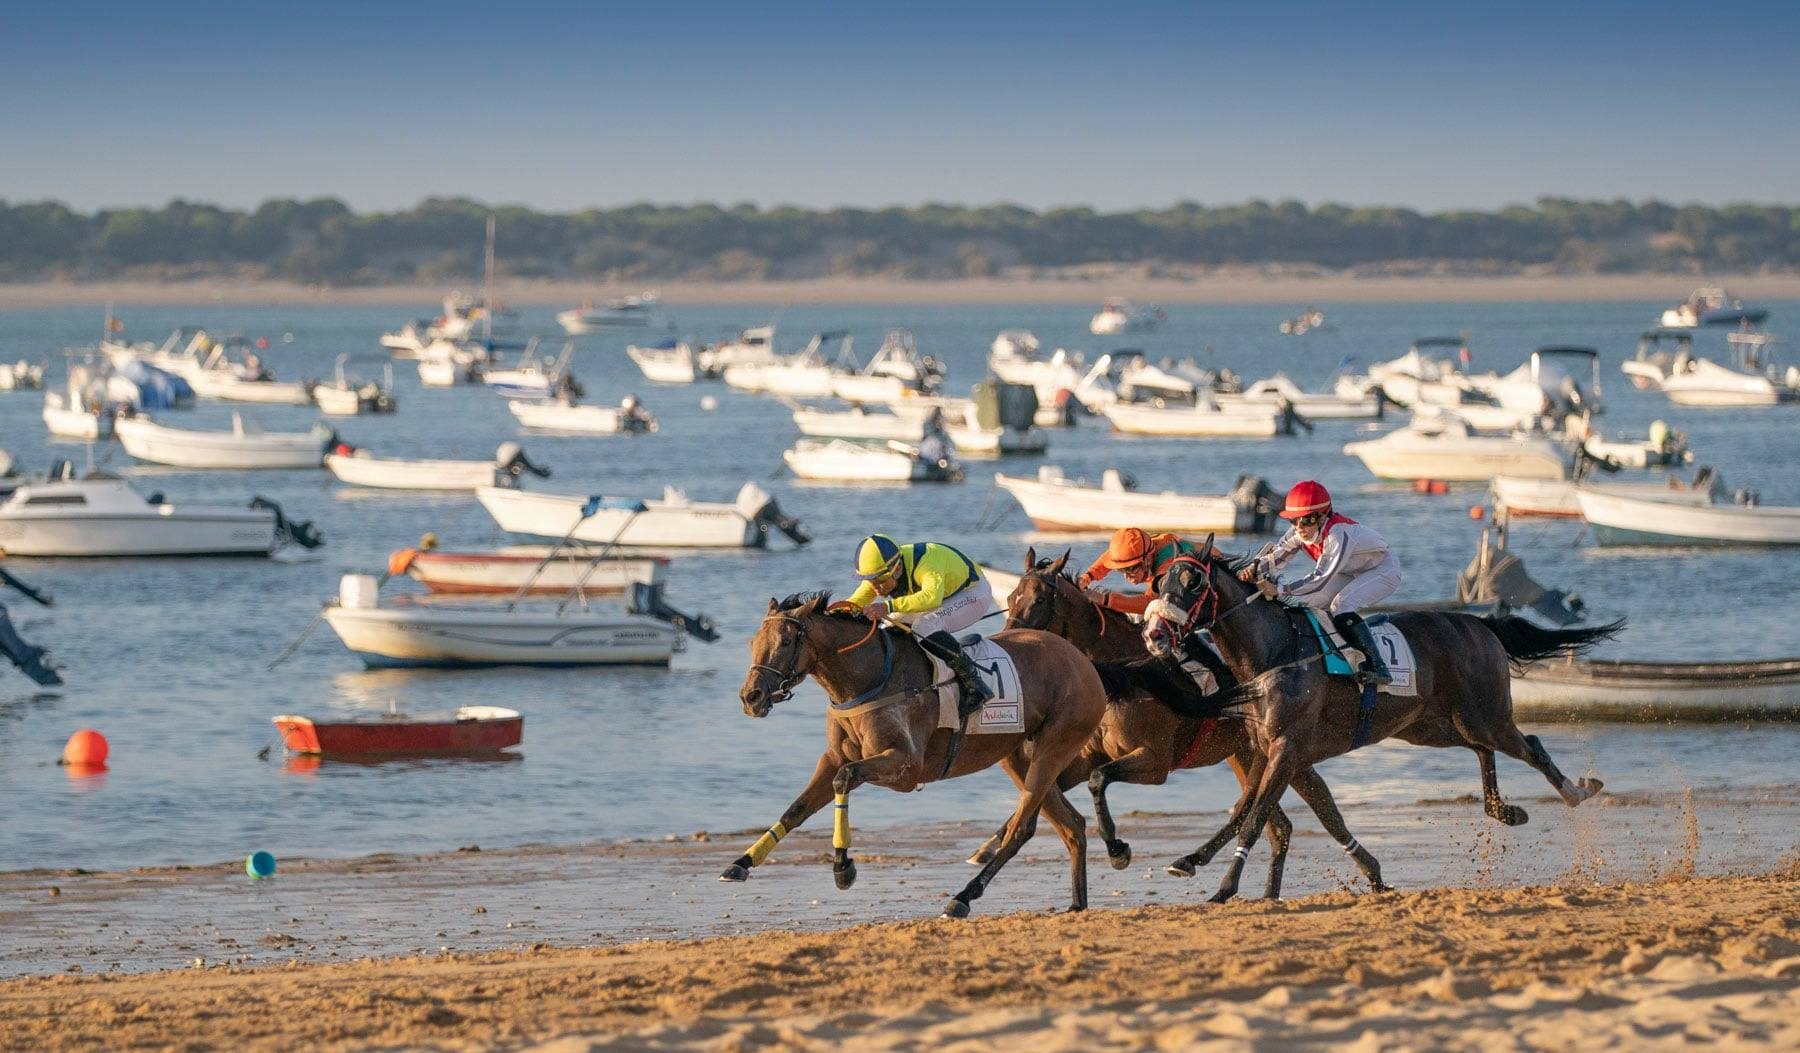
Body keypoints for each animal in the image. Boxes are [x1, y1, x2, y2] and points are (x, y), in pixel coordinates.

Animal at [723, 590, 1116, 910]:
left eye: (785, 642)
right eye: (752, 641)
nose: (750, 697)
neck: (868, 679)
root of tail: (1081, 660)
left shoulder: (905, 768)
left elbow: (843, 780)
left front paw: (842, 867)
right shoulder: (834, 756)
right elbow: (797, 808)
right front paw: (741, 863)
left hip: (1055, 745)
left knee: (1021, 829)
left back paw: (962, 898)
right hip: (1017, 756)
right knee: (1071, 825)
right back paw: (1077, 903)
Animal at [1000, 550, 1389, 896]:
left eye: (1037, 601)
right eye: (1010, 597)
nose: (1008, 642)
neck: (1128, 677)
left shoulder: (1156, 762)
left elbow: (1099, 781)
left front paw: (1117, 849)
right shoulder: (1091, 755)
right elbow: (1043, 791)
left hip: (1279, 750)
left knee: (1311, 813)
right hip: (1253, 754)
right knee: (1289, 821)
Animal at [1144, 536, 1627, 900]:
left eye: (1192, 581)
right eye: (1158, 582)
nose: (1154, 634)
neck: (1275, 652)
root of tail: (1482, 624)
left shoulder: (1287, 748)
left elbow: (1256, 813)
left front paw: (1224, 886)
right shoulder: (1265, 747)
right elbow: (1243, 810)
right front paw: (1190, 861)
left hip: (1485, 714)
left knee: (1530, 746)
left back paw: (1576, 792)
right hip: (1432, 726)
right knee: (1481, 748)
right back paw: (1502, 810)